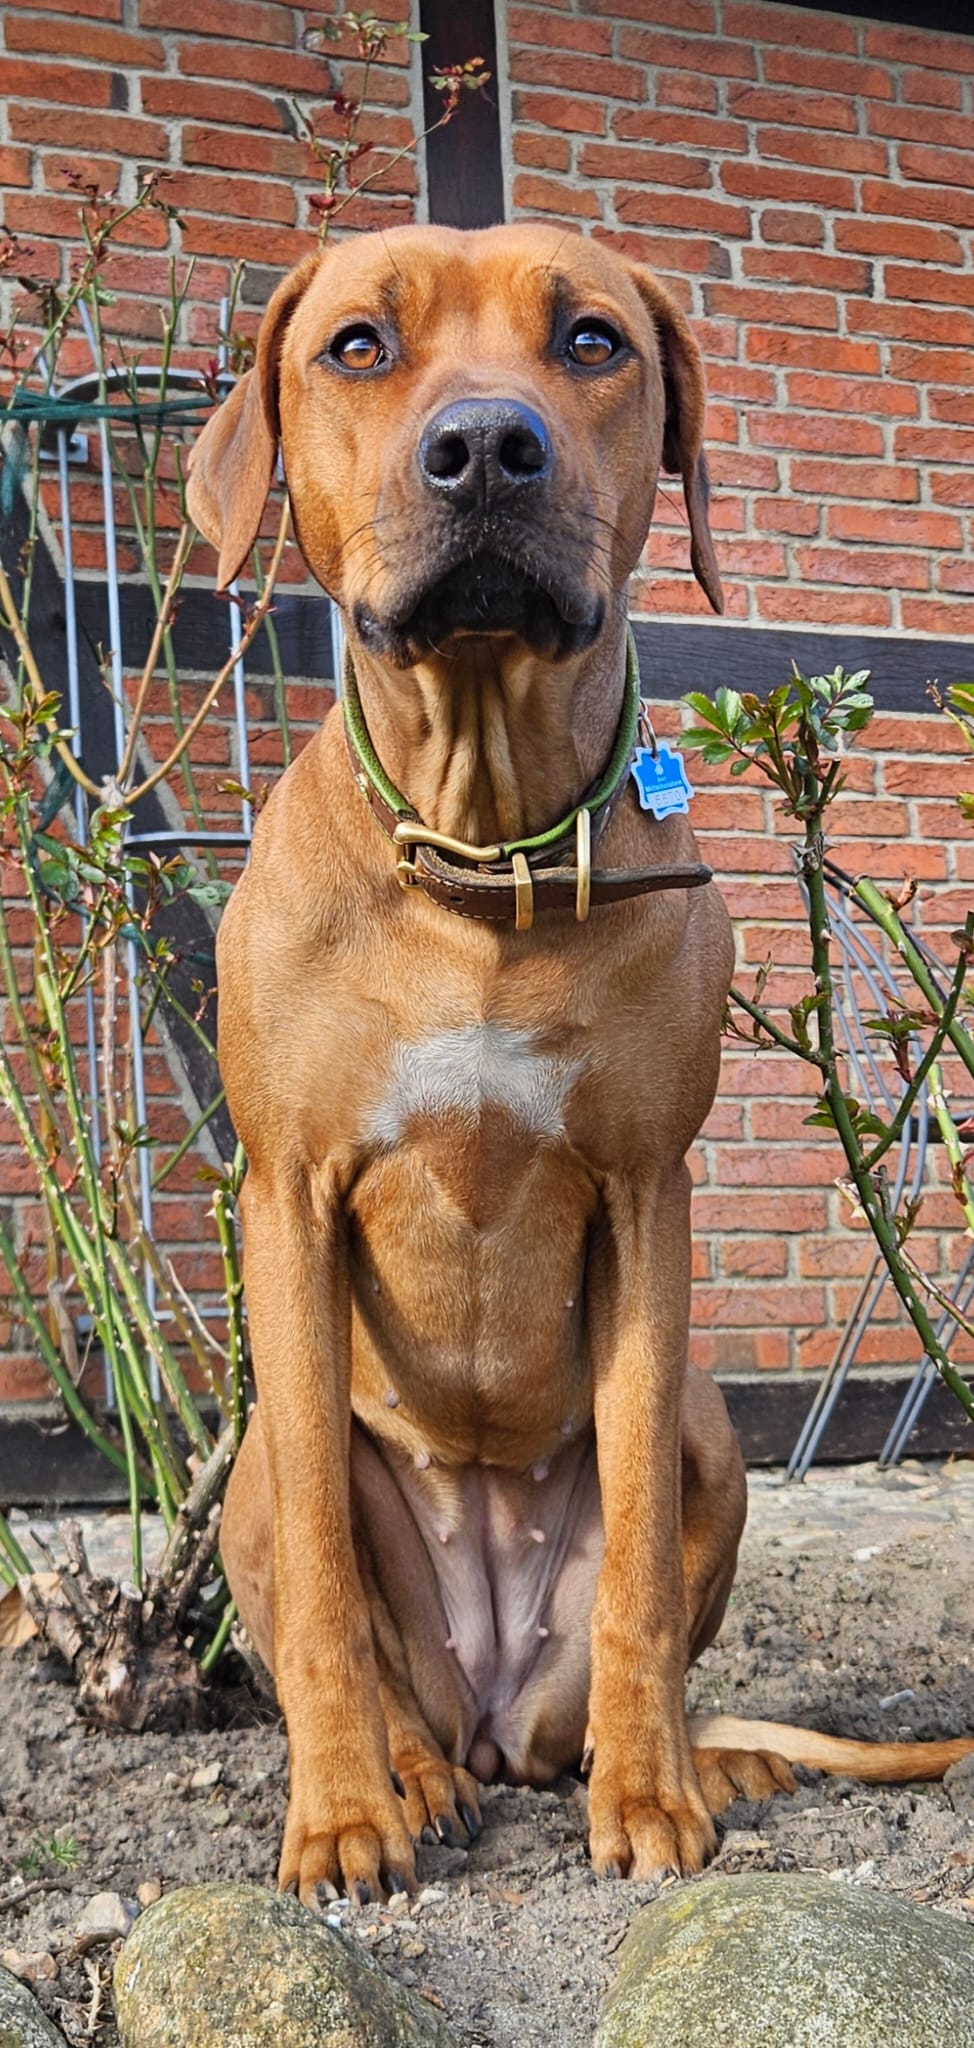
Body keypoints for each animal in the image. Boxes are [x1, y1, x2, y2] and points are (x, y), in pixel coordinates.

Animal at [187, 223, 974, 1906]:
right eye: (358, 346)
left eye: (593, 342)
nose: (487, 446)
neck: (482, 855)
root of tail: (495, 1714)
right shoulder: (285, 1195)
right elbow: (327, 1599)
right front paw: (336, 1816)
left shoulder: (641, 1189)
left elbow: (634, 1584)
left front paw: (652, 1798)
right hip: (254, 1487)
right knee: (349, 1628)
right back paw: (413, 1782)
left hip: (707, 1440)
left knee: (633, 1629)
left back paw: (660, 1757)